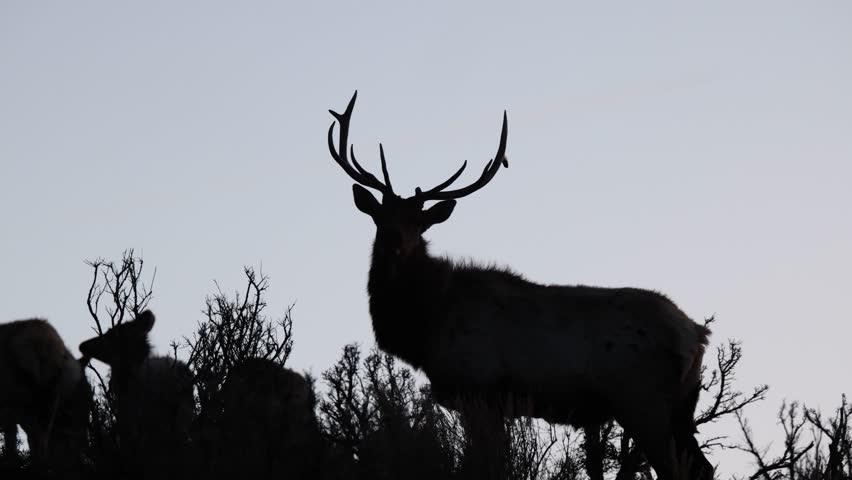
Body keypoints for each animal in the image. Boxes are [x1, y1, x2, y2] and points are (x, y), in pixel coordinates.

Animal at [324, 92, 715, 480]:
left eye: (420, 222)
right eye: (379, 215)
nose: (394, 241)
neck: (424, 325)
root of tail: (696, 334)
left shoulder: (479, 389)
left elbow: (487, 462)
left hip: (641, 399)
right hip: (681, 406)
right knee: (702, 466)